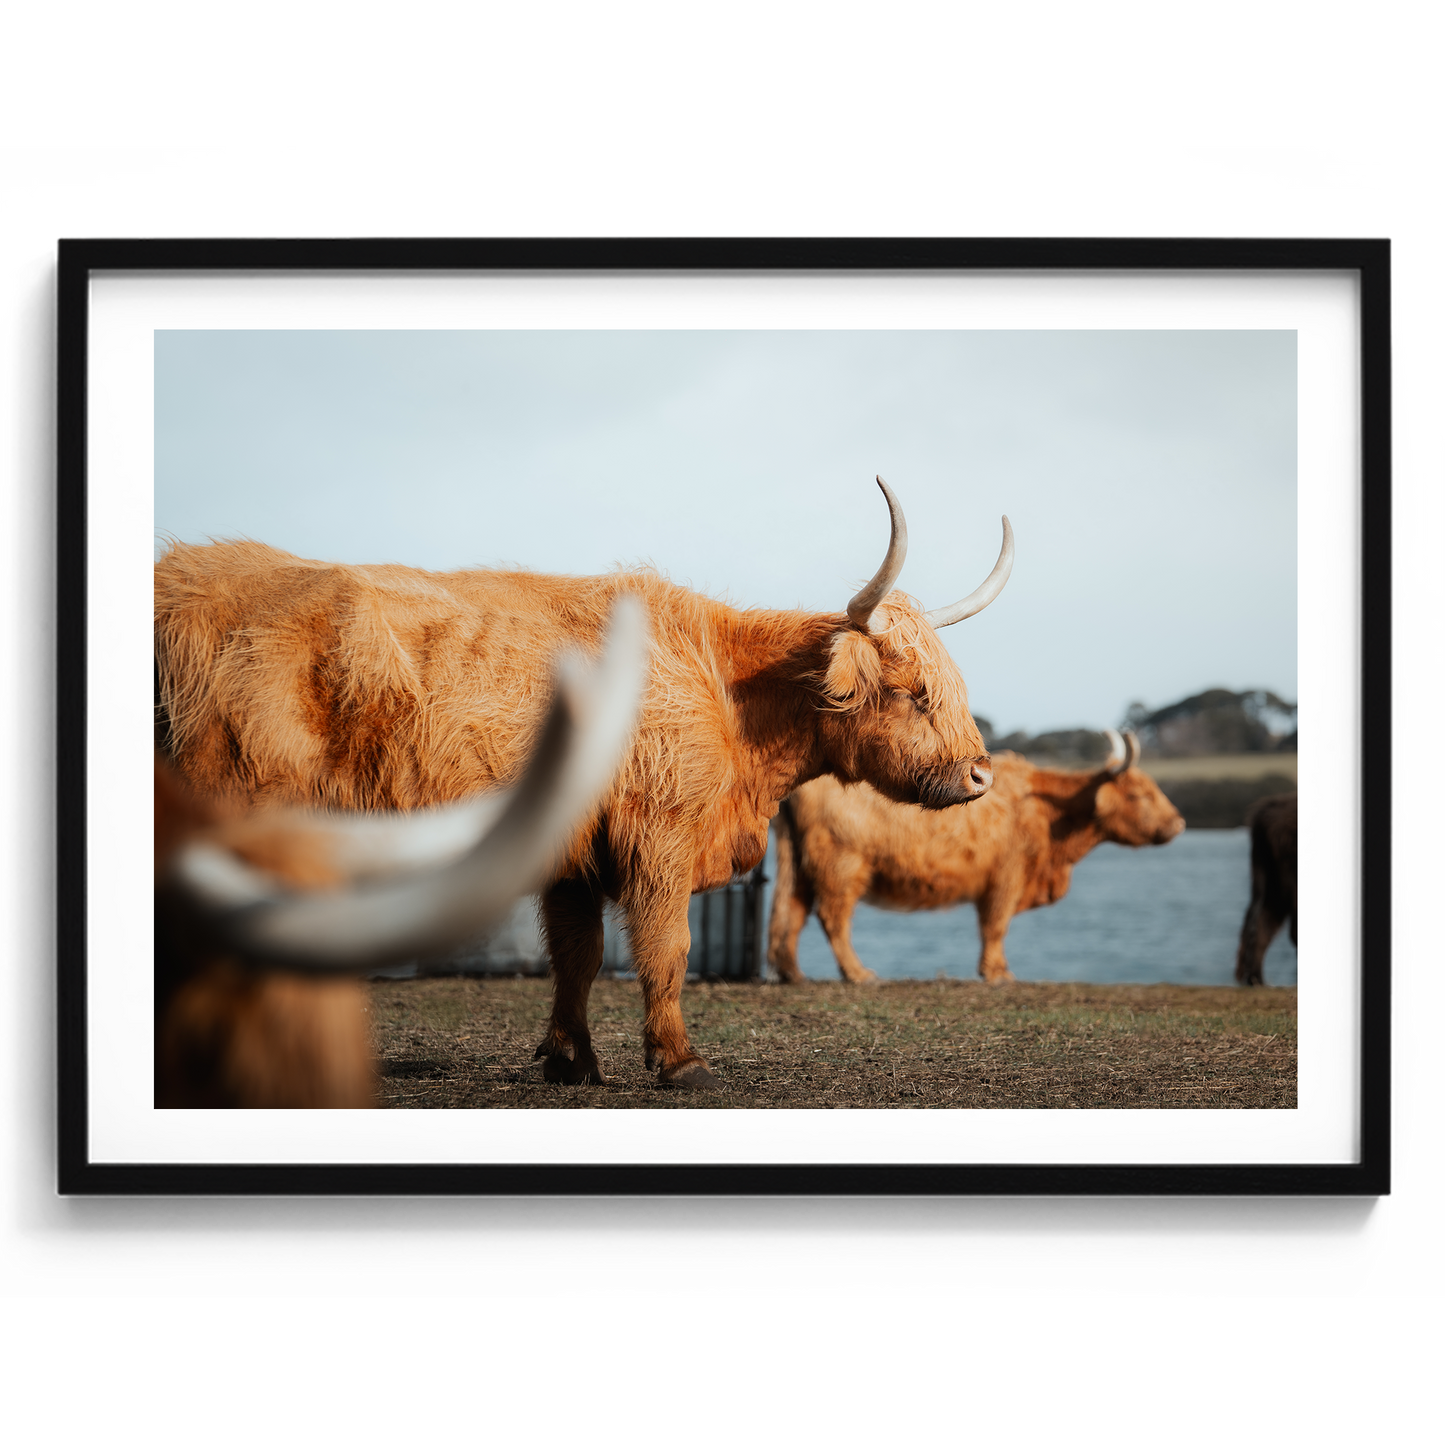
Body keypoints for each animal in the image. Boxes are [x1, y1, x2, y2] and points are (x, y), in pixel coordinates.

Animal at [768, 729, 1184, 985]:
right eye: (1140, 795)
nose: (1179, 823)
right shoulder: (1006, 878)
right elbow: (995, 926)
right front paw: (997, 973)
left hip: (803, 865)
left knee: (793, 912)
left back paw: (793, 973)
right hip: (842, 864)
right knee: (833, 917)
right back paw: (858, 973)